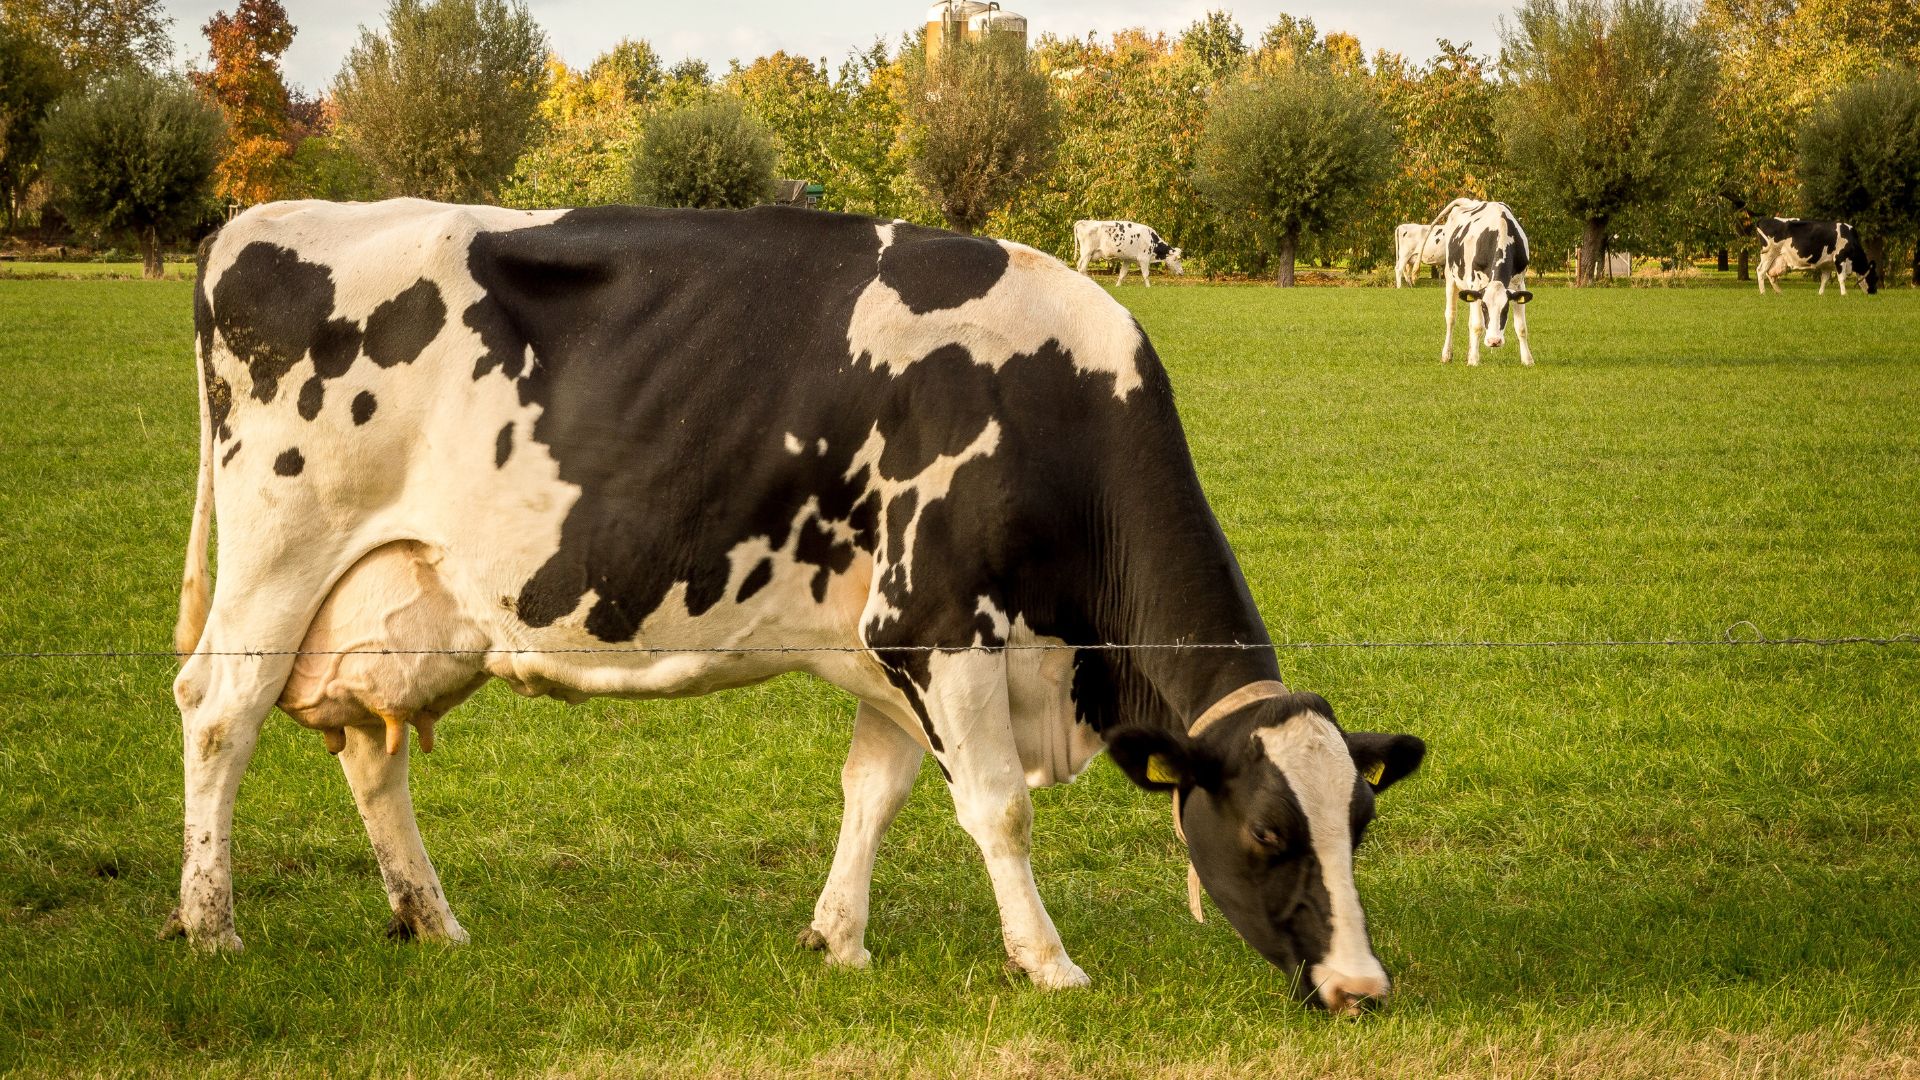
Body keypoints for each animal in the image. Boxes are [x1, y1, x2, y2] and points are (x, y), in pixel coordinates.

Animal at [168, 195, 1428, 1006]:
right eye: (1269, 834)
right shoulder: (941, 622)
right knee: (220, 716)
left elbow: (874, 792)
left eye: (1359, 824)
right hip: (281, 554)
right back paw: (211, 926)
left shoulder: (892, 649)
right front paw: (1048, 964)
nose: (1362, 986)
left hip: (396, 598)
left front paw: (840, 942)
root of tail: (253, 222)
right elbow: (997, 810)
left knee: (372, 753)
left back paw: (432, 922)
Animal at [1436, 193, 1536, 361]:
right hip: (1450, 276)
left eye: (1506, 308)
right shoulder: (1475, 284)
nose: (1494, 341)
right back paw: (1447, 354)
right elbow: (1477, 326)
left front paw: (1527, 360)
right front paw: (1474, 361)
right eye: (1484, 307)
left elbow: (1521, 327)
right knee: (1451, 316)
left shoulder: (1519, 283)